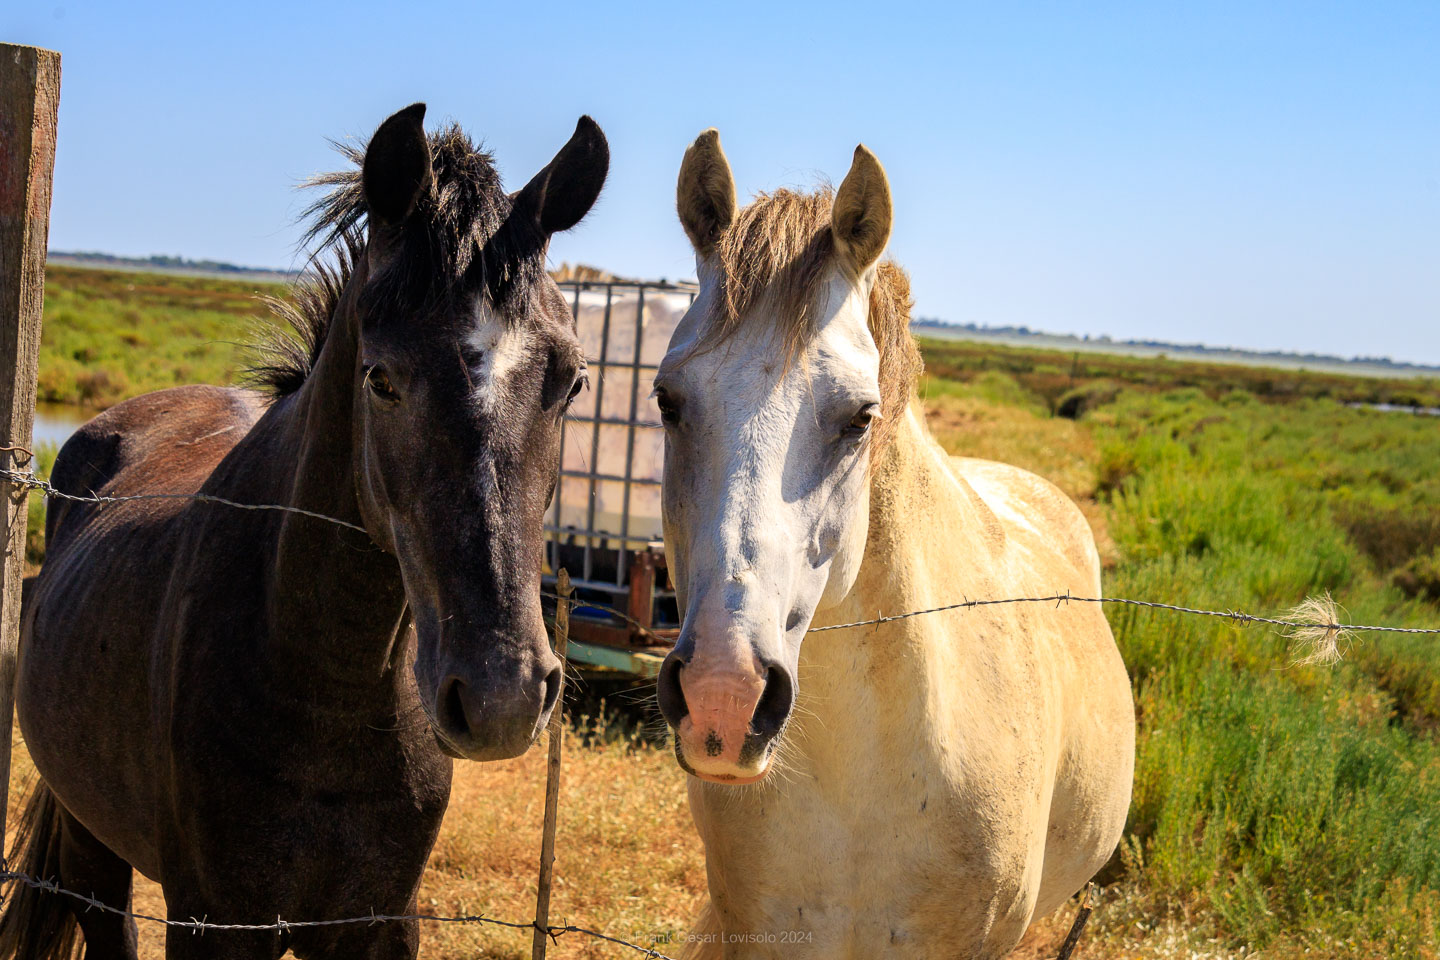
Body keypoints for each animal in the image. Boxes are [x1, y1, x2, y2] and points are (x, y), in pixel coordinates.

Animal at [0, 105, 607, 960]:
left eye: (572, 380)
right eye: (381, 379)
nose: (502, 696)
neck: (329, 688)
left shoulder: (379, 923)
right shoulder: (215, 922)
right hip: (93, 847)